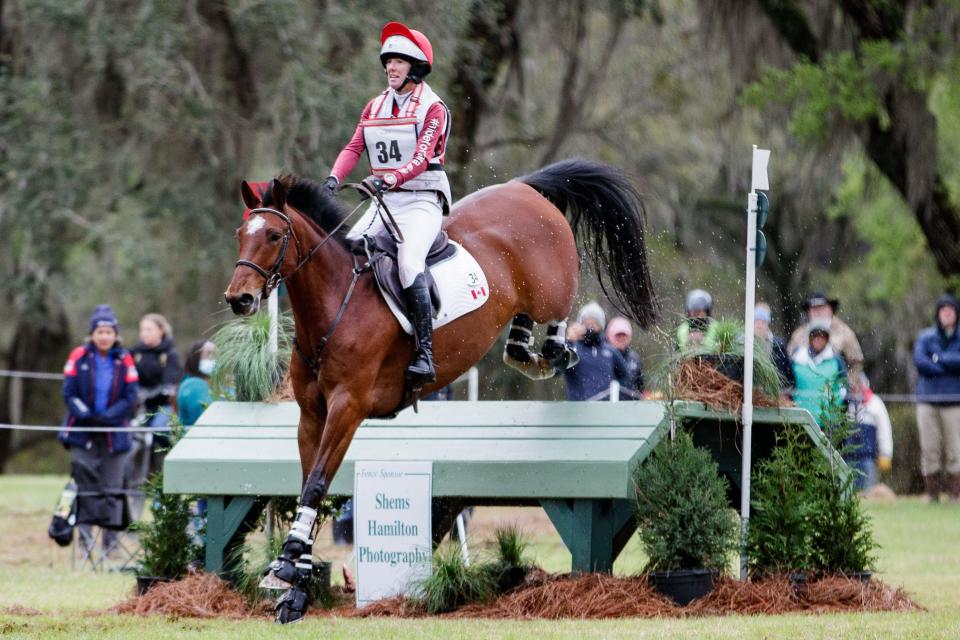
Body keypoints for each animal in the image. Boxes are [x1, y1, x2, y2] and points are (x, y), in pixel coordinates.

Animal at [225, 158, 660, 624]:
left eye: (273, 235)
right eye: (241, 233)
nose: (239, 299)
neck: (336, 302)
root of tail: (521, 187)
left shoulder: (347, 408)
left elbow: (317, 483)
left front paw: (286, 566)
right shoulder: (311, 414)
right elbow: (309, 481)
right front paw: (294, 587)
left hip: (550, 283)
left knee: (558, 306)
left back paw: (556, 351)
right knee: (519, 340)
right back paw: (528, 352)